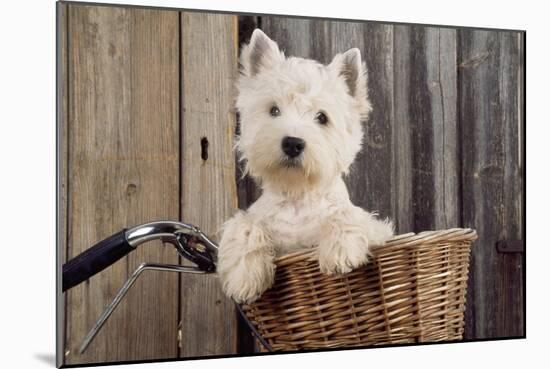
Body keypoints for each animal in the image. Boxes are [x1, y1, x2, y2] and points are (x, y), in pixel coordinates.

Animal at [218, 30, 394, 304]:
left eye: (322, 117)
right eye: (274, 110)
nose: (292, 143)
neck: (297, 196)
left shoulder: (377, 229)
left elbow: (346, 214)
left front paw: (340, 254)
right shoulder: (267, 230)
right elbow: (245, 225)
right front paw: (243, 278)